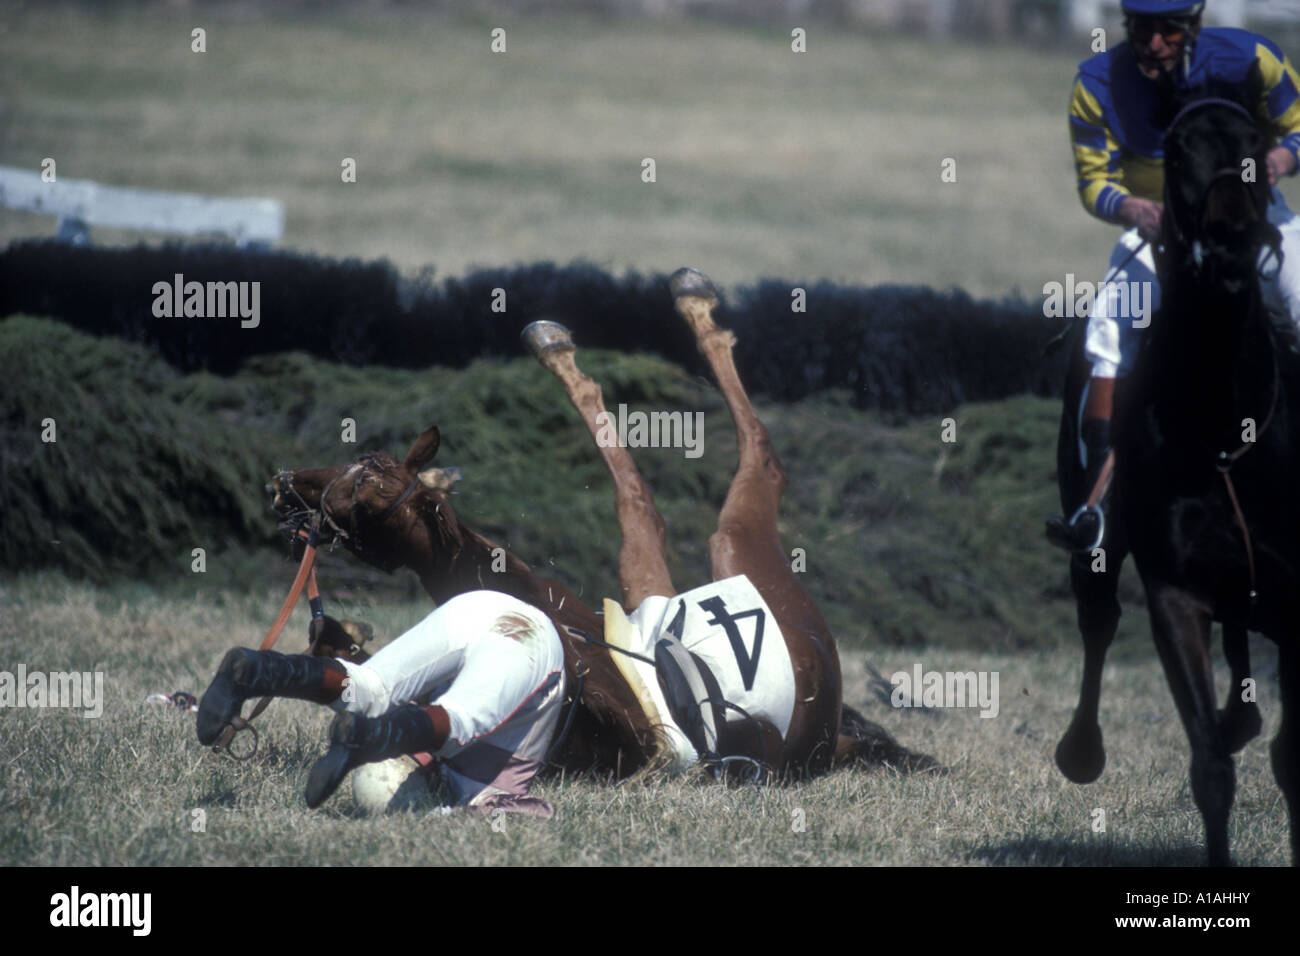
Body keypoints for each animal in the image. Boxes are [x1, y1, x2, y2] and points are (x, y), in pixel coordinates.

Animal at [1066, 98, 1289, 868]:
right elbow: (1212, 767)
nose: (1229, 241)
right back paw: (1081, 751)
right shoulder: (1175, 590)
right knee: (1099, 618)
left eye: (1255, 142)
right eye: (1178, 148)